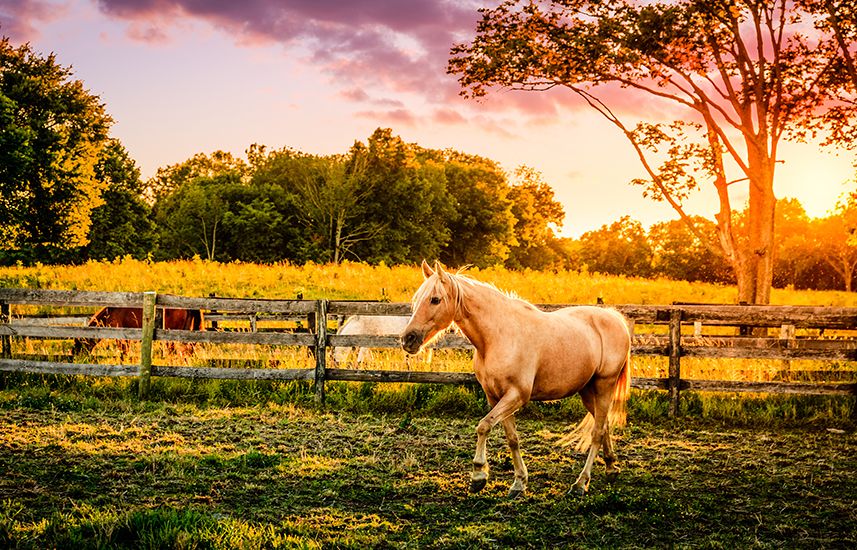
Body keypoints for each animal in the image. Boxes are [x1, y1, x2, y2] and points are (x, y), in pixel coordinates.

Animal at [400, 264, 628, 500]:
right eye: (416, 299)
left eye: (435, 299)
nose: (408, 339)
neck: (498, 337)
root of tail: (614, 318)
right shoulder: (496, 397)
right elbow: (512, 438)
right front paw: (519, 483)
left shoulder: (516, 396)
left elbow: (483, 426)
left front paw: (478, 475)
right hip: (587, 391)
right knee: (604, 425)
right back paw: (611, 468)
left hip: (604, 386)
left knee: (597, 432)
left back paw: (581, 483)